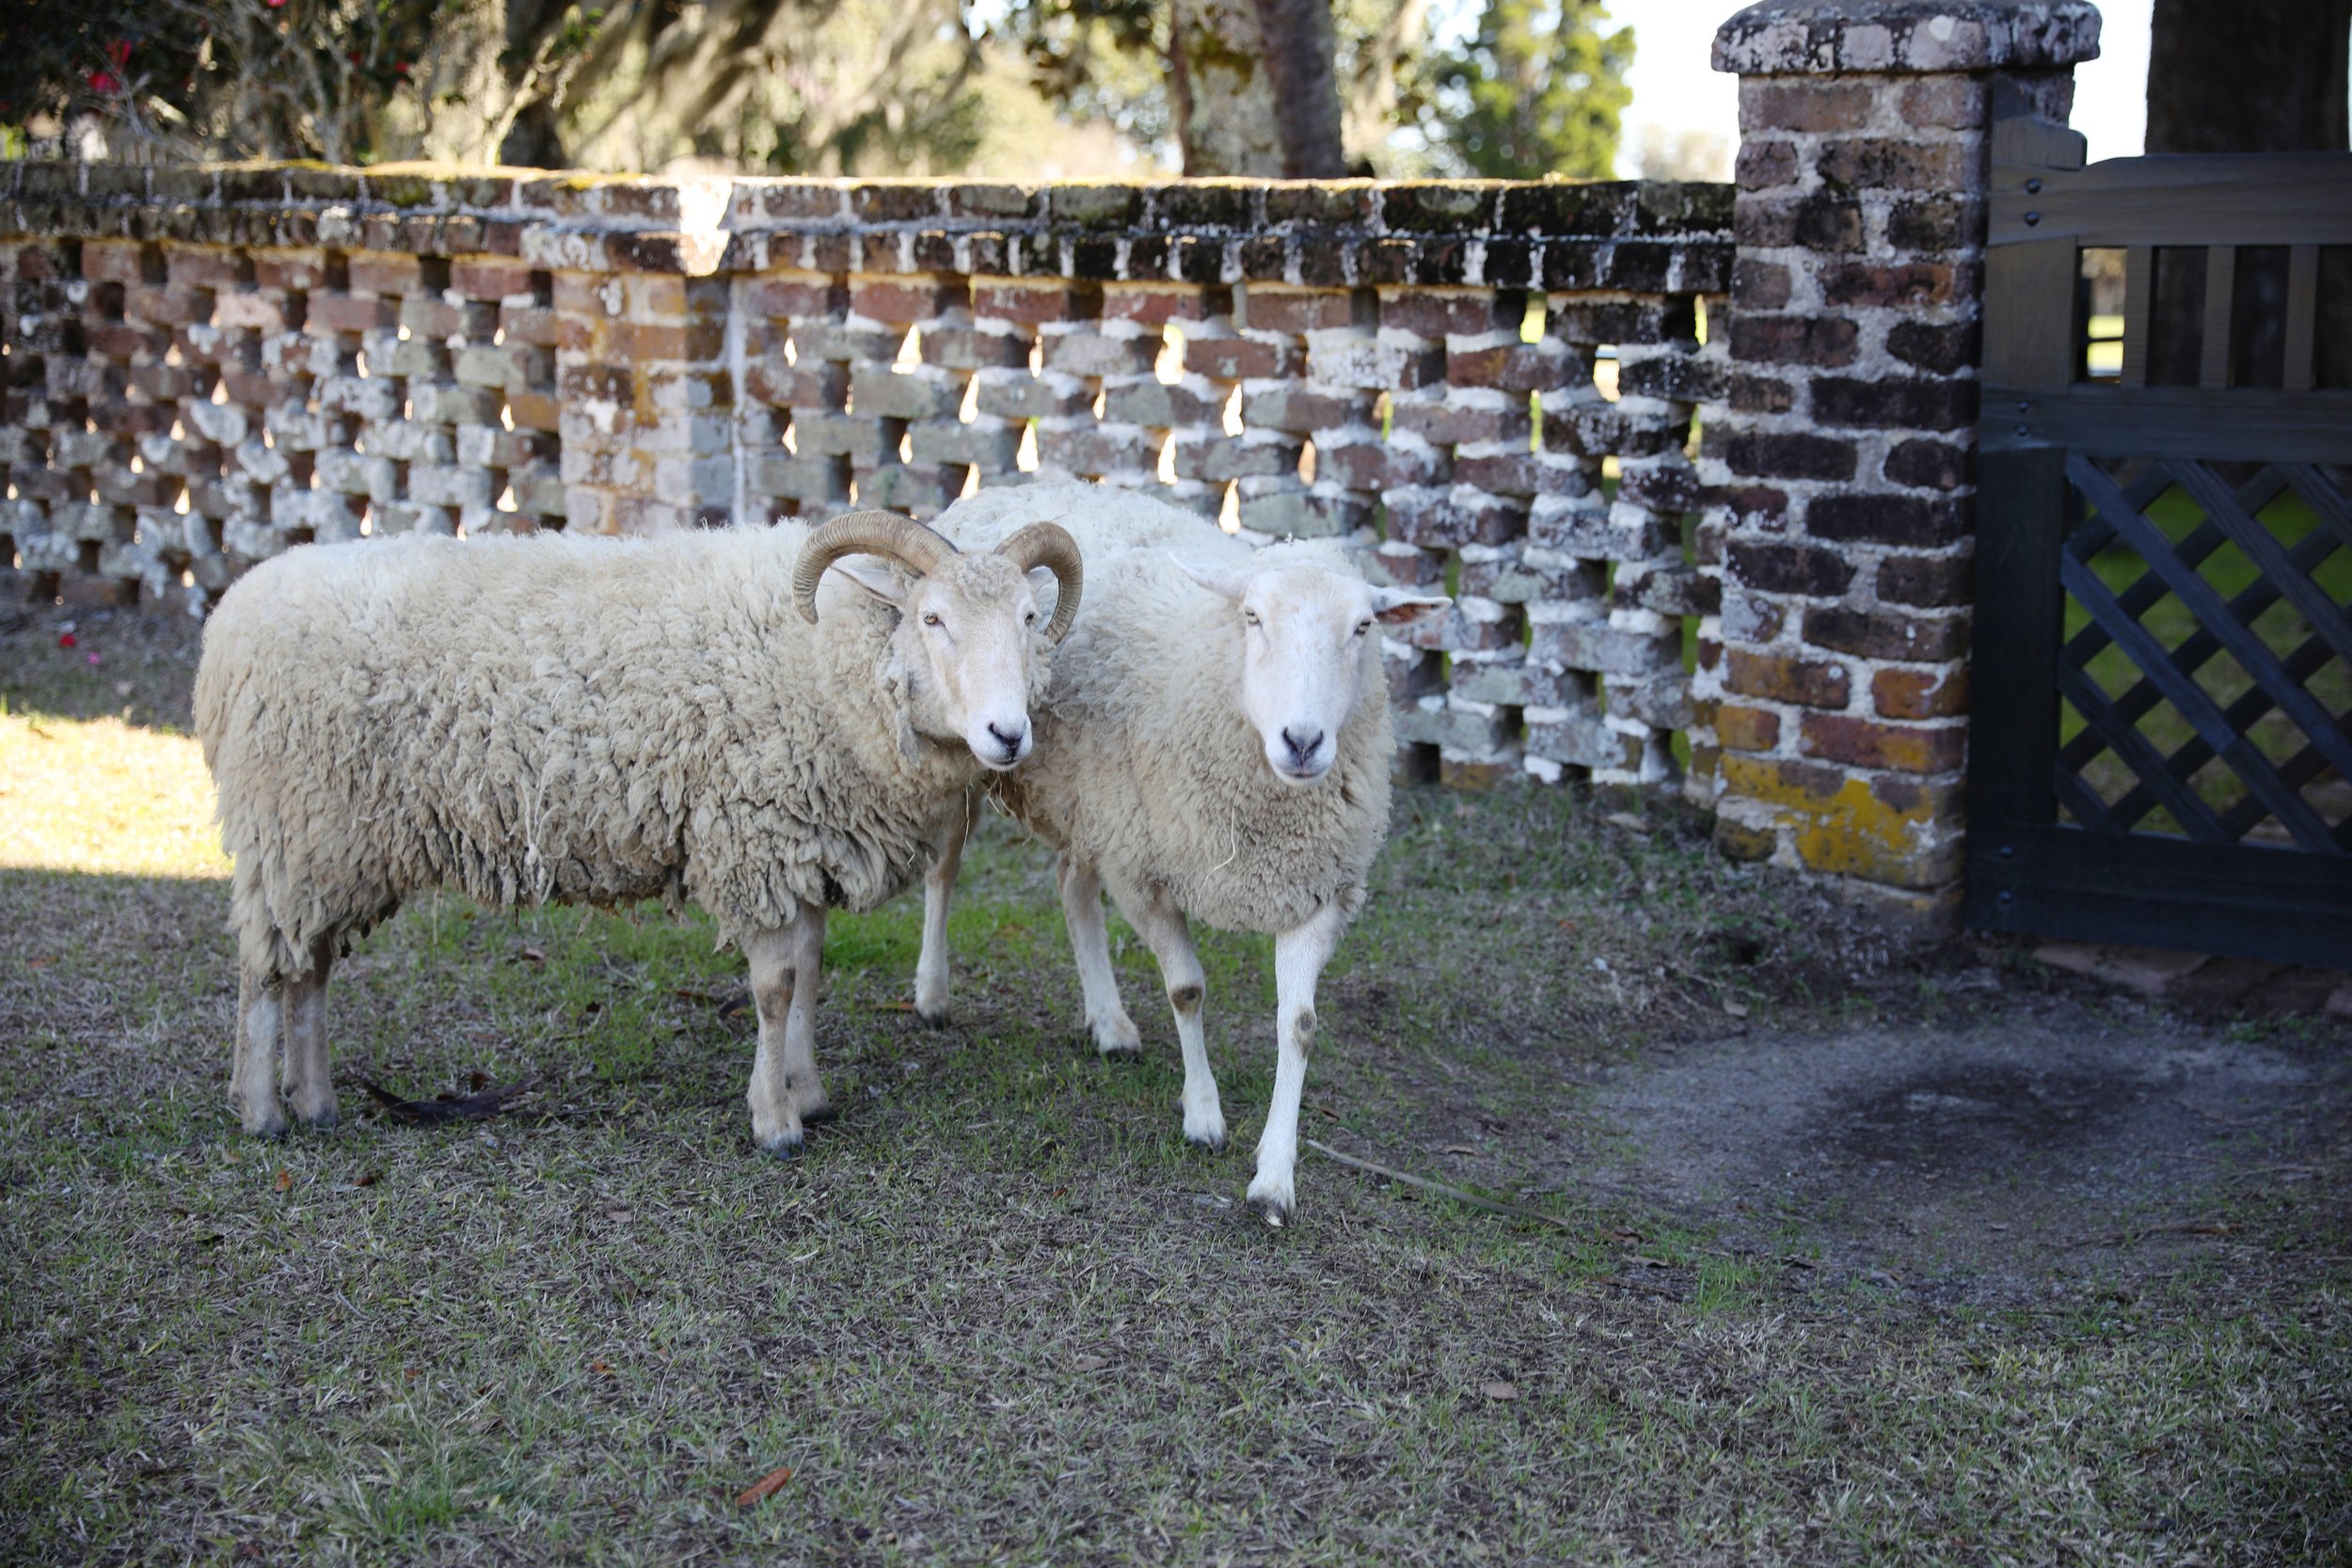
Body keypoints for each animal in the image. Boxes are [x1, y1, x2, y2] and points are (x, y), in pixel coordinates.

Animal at [198, 510, 1077, 1161]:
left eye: (1030, 617)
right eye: (932, 617)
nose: (1008, 734)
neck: (828, 655)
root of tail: (227, 623)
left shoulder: (798, 841)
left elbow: (809, 974)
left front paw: (808, 1092)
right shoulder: (752, 836)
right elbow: (775, 987)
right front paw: (775, 1122)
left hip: (333, 845)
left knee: (308, 966)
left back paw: (315, 1101)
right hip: (292, 824)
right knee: (264, 966)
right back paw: (261, 1110)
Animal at [917, 479, 1449, 1222]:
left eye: (1364, 627)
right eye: (1252, 616)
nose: (1303, 741)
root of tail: (1008, 484)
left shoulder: (1319, 888)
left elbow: (1300, 1023)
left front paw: (1275, 1175)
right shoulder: (1146, 873)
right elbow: (1187, 989)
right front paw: (1203, 1115)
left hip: (1096, 804)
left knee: (1073, 886)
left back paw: (1109, 1023)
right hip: (979, 763)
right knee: (944, 870)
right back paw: (933, 993)